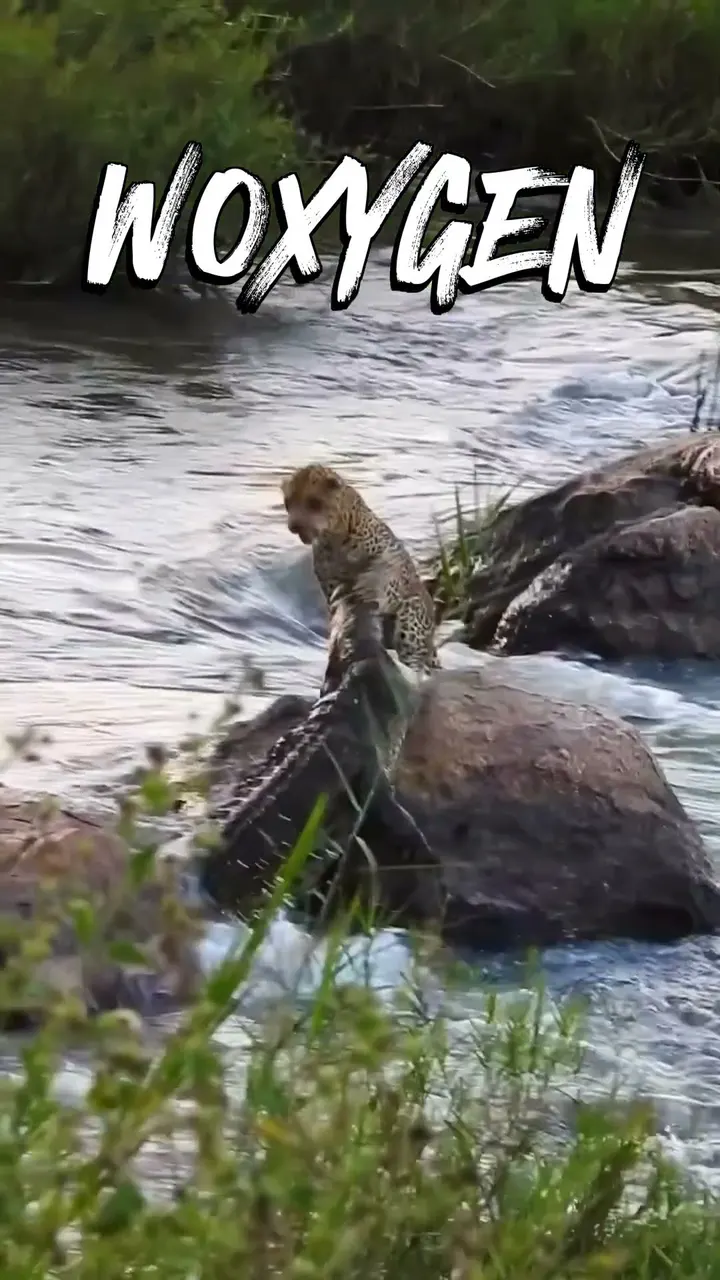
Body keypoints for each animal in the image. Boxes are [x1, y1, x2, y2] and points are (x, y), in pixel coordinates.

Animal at [281, 463, 440, 679]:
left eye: (314, 502)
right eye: (288, 503)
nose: (293, 526)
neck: (334, 537)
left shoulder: (391, 562)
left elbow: (384, 578)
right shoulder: (331, 584)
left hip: (411, 618)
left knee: (415, 660)